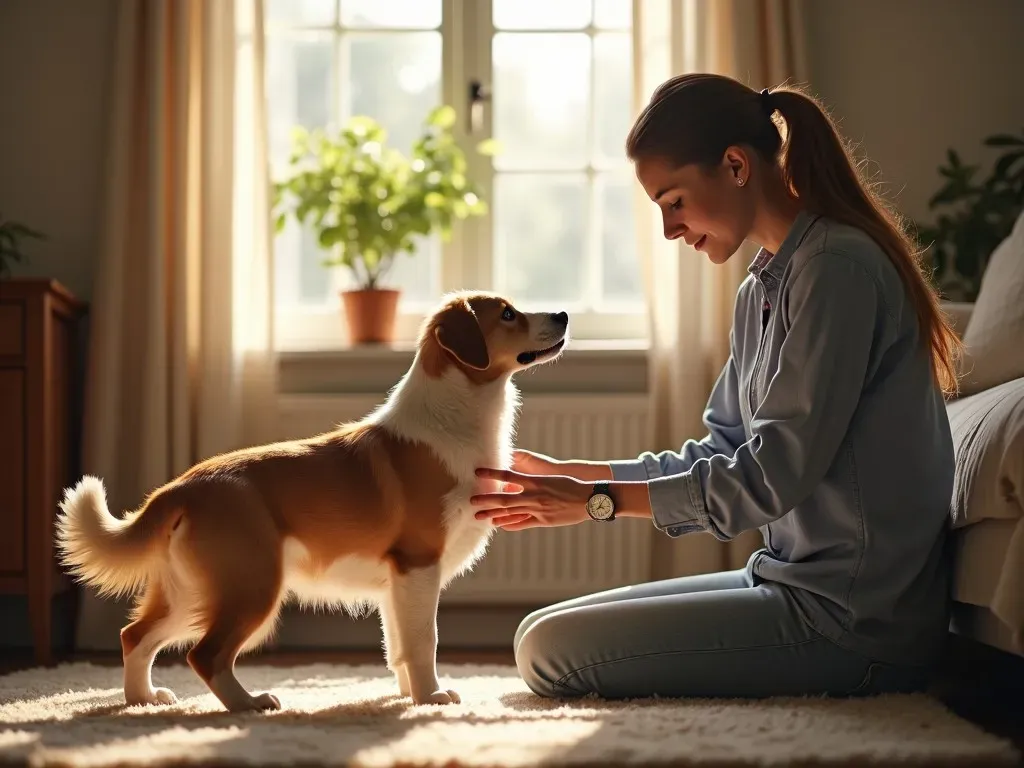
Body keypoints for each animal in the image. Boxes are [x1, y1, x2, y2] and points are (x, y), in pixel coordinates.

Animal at [56, 290, 569, 716]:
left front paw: (408, 695)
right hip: (250, 587)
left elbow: (399, 646)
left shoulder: (397, 583)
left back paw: (141, 700)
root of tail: (180, 487)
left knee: (135, 637)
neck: (452, 422)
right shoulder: (419, 565)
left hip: (191, 591)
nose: (563, 314)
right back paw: (248, 705)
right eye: (508, 314)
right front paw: (431, 698)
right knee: (205, 654)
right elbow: (424, 640)